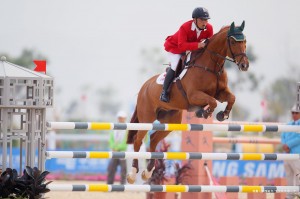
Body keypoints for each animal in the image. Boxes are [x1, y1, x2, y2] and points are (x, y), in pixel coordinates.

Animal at [126, 21, 248, 183]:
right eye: (233, 42)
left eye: (245, 41)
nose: (245, 65)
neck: (211, 66)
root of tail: (144, 87)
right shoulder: (194, 95)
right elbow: (212, 102)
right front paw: (204, 112)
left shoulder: (220, 93)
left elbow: (231, 98)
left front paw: (223, 115)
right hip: (146, 118)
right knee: (138, 140)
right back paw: (133, 174)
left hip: (171, 120)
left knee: (153, 139)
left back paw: (148, 171)